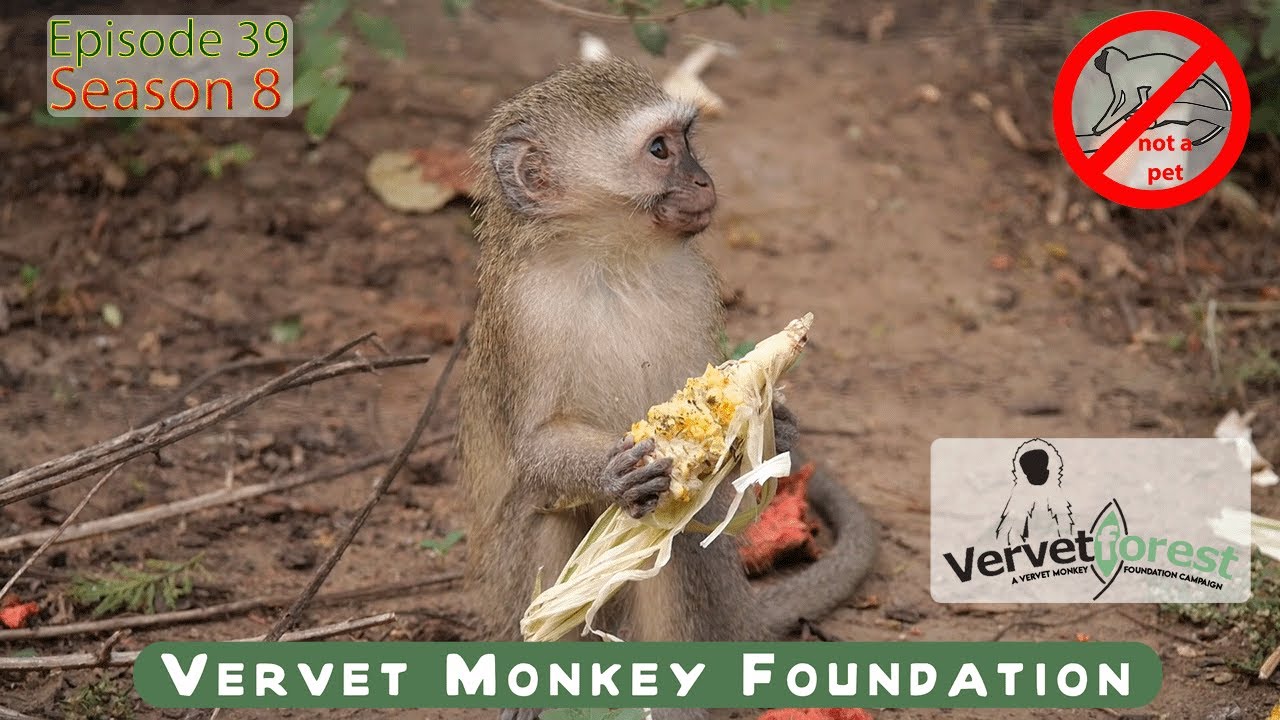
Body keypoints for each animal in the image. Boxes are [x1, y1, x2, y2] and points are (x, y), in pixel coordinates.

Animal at [457, 58, 876, 720]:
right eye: (660, 150)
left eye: (687, 142)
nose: (703, 180)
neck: (611, 265)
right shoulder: (522, 313)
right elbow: (533, 445)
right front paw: (615, 473)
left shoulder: (696, 288)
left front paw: (777, 428)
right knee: (554, 515)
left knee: (673, 543)